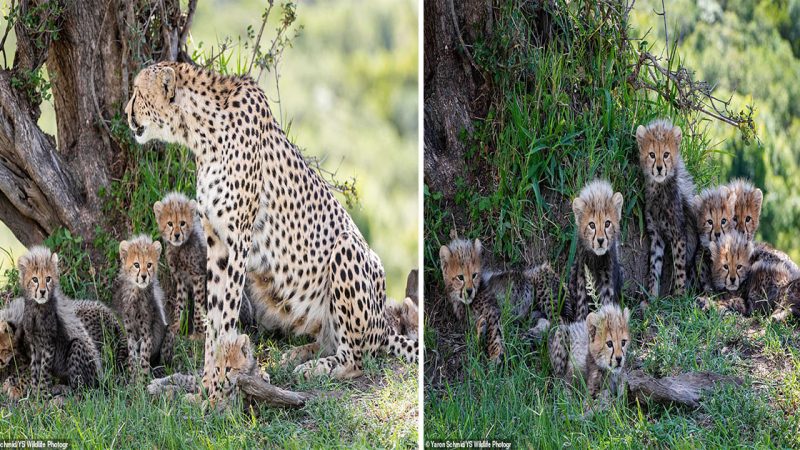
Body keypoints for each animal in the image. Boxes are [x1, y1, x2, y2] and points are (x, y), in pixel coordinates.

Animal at [125, 62, 418, 400]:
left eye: (138, 93)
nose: (125, 112)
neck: (199, 131)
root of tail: (383, 323)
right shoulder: (216, 241)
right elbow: (214, 319)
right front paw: (203, 383)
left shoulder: (237, 240)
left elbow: (225, 317)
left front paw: (215, 389)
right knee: (332, 341)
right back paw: (297, 355)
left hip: (347, 250)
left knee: (358, 357)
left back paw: (317, 368)